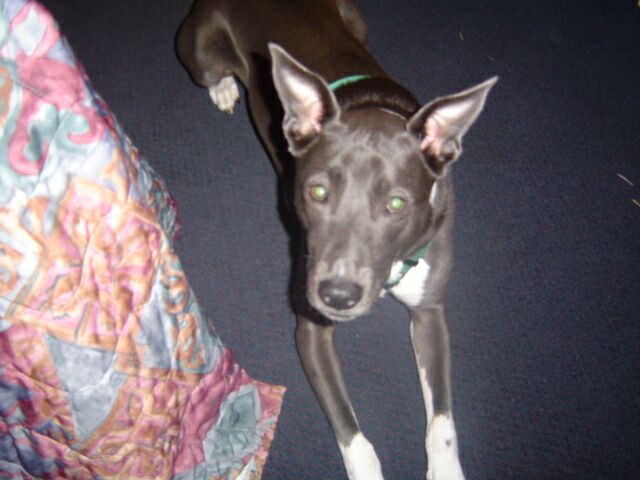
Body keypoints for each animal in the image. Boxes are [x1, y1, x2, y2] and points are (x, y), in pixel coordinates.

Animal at [177, 1, 496, 478]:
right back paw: (224, 88)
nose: (338, 295)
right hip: (200, 52)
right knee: (211, 71)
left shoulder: (430, 311)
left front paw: (447, 469)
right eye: (318, 192)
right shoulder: (311, 328)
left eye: (397, 204)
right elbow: (352, 433)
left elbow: (441, 418)